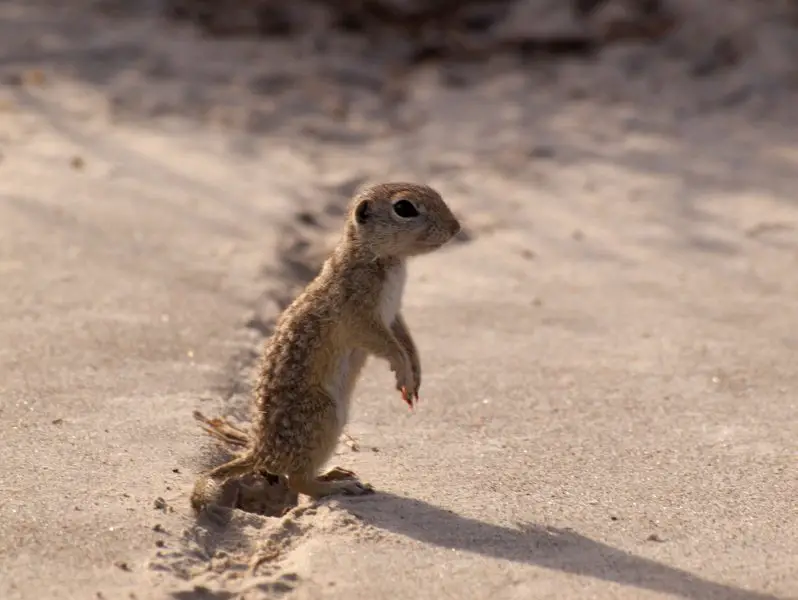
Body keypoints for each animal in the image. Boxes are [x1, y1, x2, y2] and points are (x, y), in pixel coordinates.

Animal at [191, 182, 461, 516]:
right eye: (404, 208)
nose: (456, 227)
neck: (376, 256)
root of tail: (259, 453)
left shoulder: (393, 315)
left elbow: (406, 340)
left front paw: (415, 374)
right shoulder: (363, 318)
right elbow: (388, 346)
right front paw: (403, 373)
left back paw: (334, 473)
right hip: (324, 416)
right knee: (297, 481)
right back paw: (337, 486)